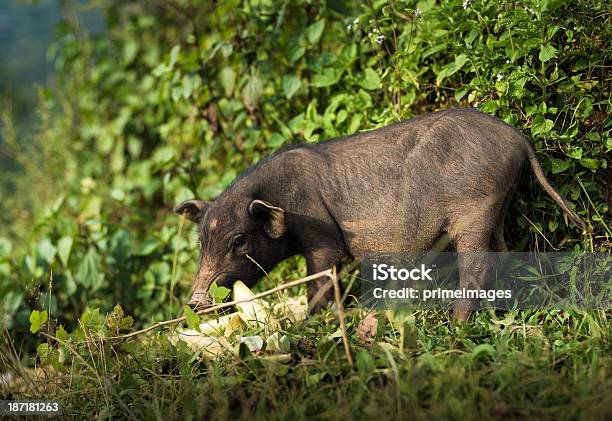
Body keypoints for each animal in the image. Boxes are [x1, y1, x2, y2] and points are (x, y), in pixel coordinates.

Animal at [175, 108, 584, 318]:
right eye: (202, 242)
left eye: (239, 241)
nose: (194, 302)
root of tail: (518, 138)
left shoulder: (322, 237)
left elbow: (320, 279)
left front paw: (305, 321)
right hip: (497, 206)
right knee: (502, 253)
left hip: (475, 209)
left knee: (476, 266)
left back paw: (458, 326)